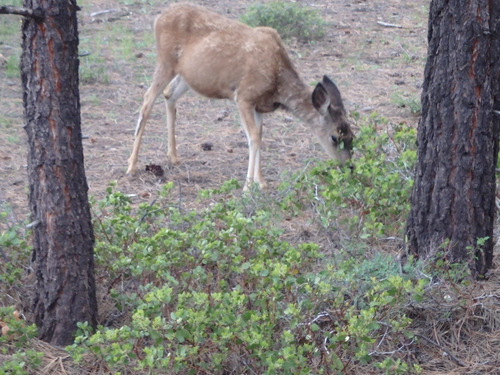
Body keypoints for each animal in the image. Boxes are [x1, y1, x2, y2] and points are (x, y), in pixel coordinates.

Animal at [127, 2, 354, 191]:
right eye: (334, 137)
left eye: (352, 135)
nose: (349, 167)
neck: (277, 82)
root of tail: (159, 18)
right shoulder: (244, 97)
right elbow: (253, 137)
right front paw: (247, 187)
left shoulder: (260, 105)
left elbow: (260, 135)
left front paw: (261, 182)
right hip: (165, 61)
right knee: (147, 100)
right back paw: (131, 166)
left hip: (187, 75)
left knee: (169, 94)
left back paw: (173, 157)